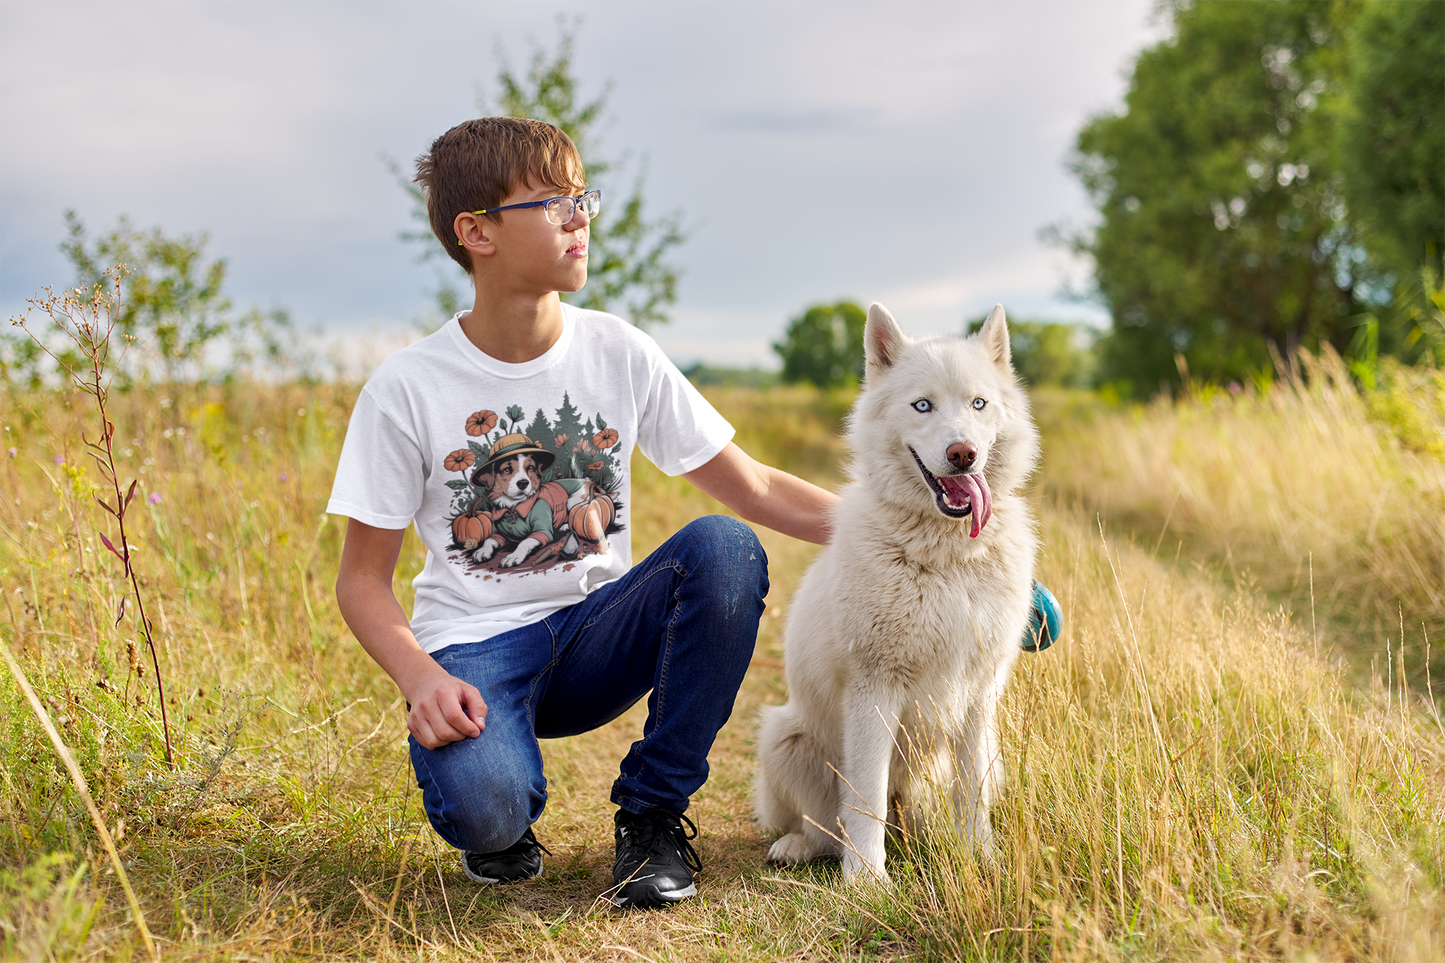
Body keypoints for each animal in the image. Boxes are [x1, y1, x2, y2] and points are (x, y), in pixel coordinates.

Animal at [465, 433, 612, 563]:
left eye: (530, 467)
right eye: (506, 469)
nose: (523, 483)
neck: (513, 508)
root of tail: (587, 480)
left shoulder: (541, 531)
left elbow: (524, 542)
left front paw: (514, 556)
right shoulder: (497, 532)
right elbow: (489, 540)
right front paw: (482, 551)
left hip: (572, 500)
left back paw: (565, 525)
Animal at [757, 300, 1040, 879]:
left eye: (978, 403)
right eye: (922, 406)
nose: (963, 454)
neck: (949, 557)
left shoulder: (979, 694)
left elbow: (971, 793)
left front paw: (979, 859)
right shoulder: (874, 689)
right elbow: (865, 796)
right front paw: (867, 880)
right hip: (782, 735)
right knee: (823, 826)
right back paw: (798, 847)